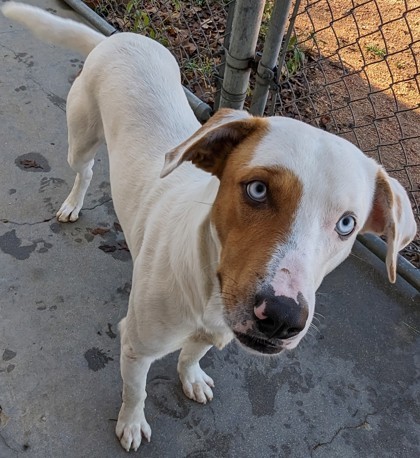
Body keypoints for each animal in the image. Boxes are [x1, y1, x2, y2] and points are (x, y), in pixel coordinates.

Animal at [2, 1, 416, 452]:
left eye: (346, 224)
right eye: (257, 189)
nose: (283, 316)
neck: (206, 287)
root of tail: (117, 39)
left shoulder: (211, 332)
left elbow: (191, 355)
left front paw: (192, 377)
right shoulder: (135, 345)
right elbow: (136, 390)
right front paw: (131, 423)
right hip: (80, 140)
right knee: (86, 170)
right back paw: (74, 202)